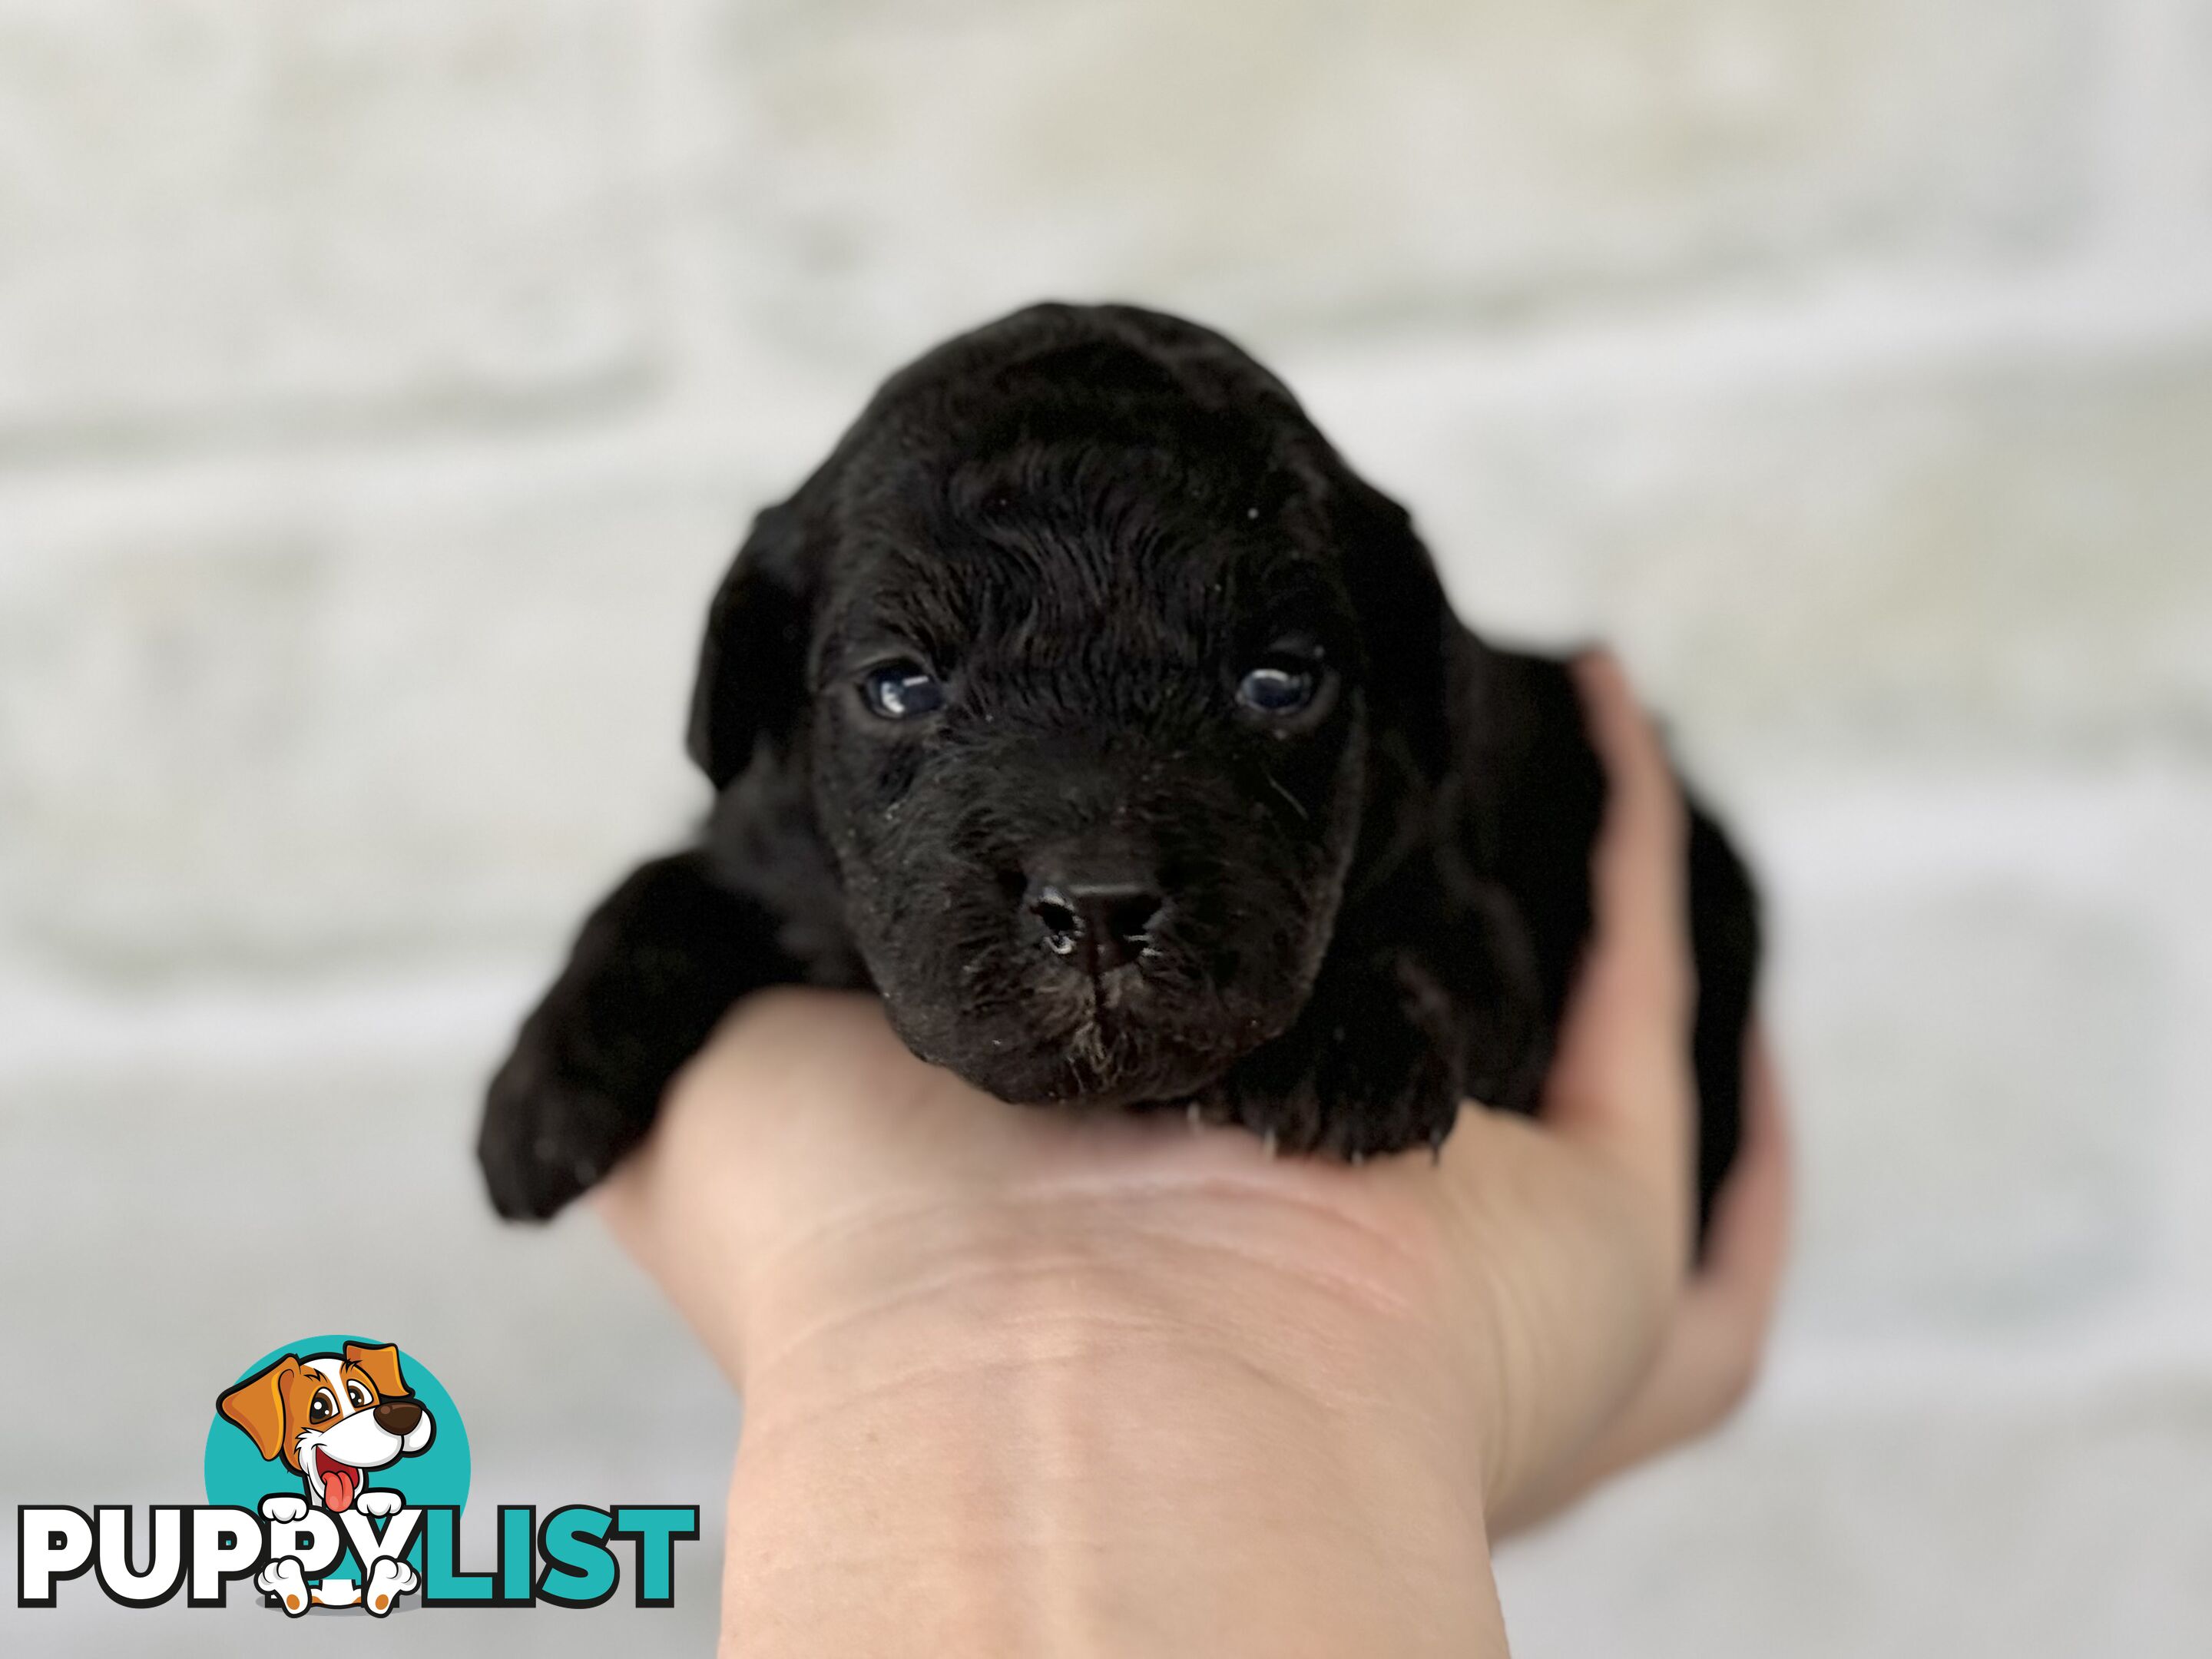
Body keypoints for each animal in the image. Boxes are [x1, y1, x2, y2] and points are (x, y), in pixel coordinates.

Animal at [484, 303, 1760, 1238]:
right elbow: (662, 884)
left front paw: (1350, 1044)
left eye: (1280, 683)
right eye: (900, 687)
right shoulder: (765, 843)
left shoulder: (1467, 898)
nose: (1097, 910)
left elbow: (1438, 937)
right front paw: (540, 1092)